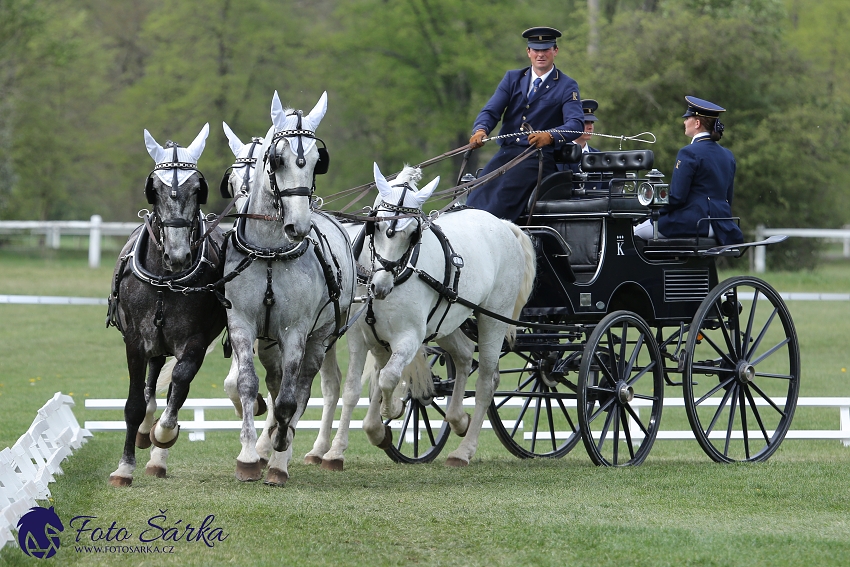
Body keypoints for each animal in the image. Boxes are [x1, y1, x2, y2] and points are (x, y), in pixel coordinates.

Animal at [104, 125, 227, 488]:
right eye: (154, 190)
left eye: (197, 188)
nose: (178, 255)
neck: (166, 279)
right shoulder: (134, 341)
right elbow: (134, 403)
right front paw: (124, 467)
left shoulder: (195, 341)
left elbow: (180, 383)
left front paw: (164, 433)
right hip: (153, 342)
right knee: (152, 380)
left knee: (174, 385)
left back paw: (157, 450)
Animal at [222, 91, 354, 486]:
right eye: (277, 159)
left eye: (316, 161)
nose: (299, 225)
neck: (269, 251)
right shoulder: (242, 325)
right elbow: (246, 385)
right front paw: (249, 456)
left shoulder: (295, 331)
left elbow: (289, 400)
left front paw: (280, 453)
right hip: (268, 342)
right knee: (276, 380)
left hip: (320, 337)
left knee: (304, 388)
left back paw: (284, 446)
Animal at [340, 163, 536, 466]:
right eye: (377, 225)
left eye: (413, 233)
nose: (379, 287)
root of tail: (503, 223)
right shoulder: (362, 337)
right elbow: (358, 386)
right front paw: (364, 435)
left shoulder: (409, 338)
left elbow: (388, 377)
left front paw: (392, 409)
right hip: (447, 320)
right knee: (464, 355)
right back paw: (458, 419)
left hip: (493, 318)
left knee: (487, 381)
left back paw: (464, 451)